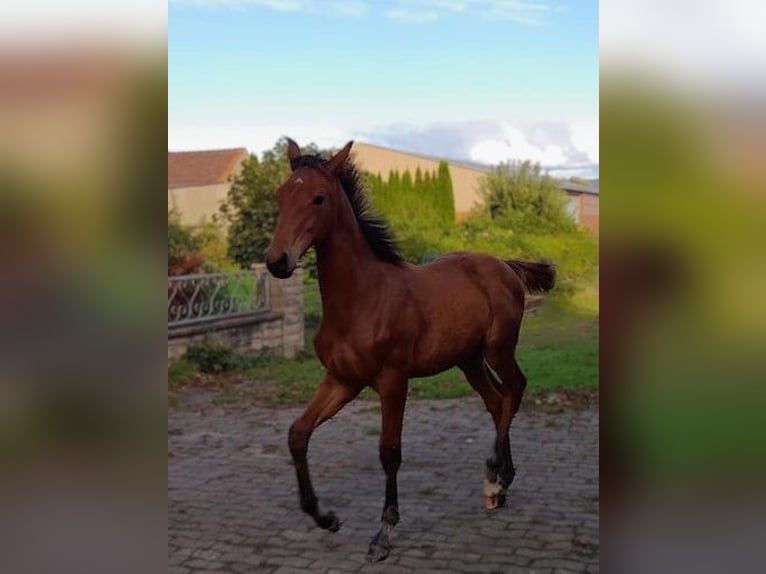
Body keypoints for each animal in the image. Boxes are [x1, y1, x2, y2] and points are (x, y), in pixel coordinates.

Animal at [268, 140, 556, 564]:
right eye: (280, 195)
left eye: (318, 198)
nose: (277, 261)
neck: (362, 299)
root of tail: (504, 264)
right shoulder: (342, 380)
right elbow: (297, 434)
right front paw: (324, 516)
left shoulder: (393, 380)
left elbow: (389, 451)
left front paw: (384, 533)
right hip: (469, 360)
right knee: (497, 400)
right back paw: (499, 480)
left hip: (498, 348)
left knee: (515, 389)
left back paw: (495, 479)